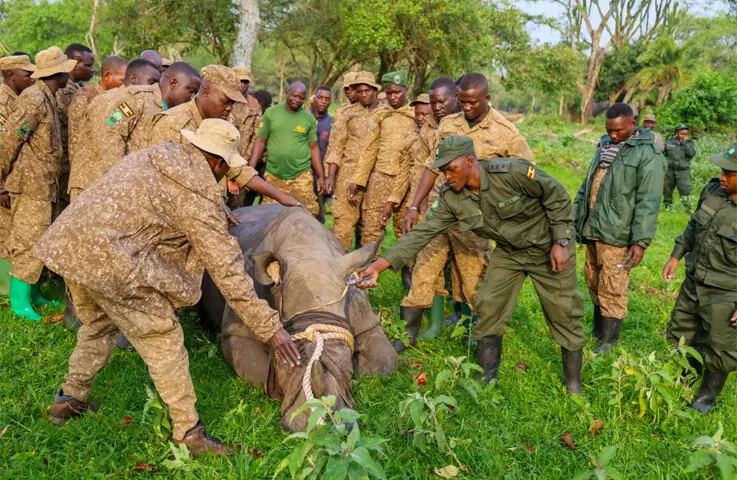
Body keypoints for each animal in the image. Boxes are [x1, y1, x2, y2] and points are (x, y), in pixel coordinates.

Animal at [199, 204, 398, 431]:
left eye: (348, 368)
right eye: (284, 369)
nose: (323, 428)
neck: (305, 253)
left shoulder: (362, 313)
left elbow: (385, 361)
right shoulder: (237, 330)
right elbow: (257, 370)